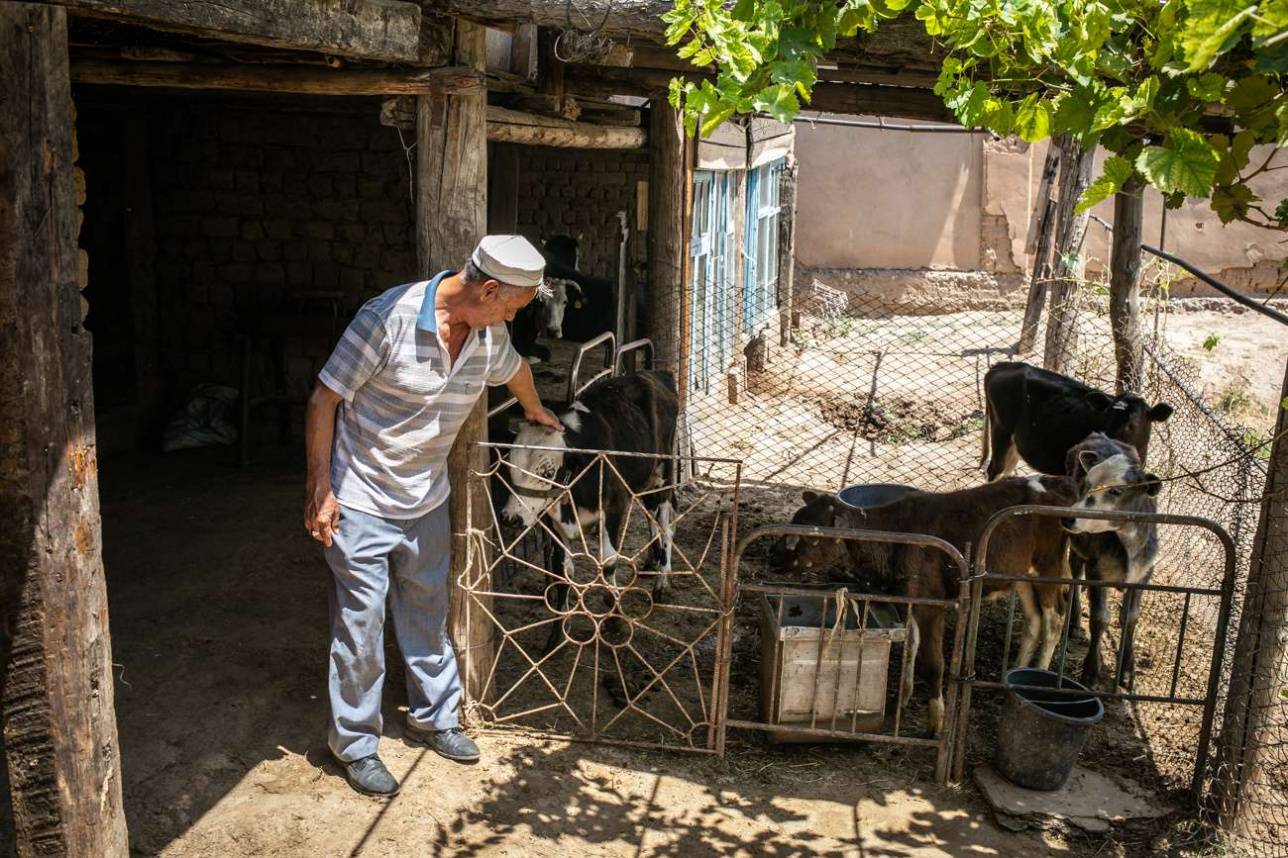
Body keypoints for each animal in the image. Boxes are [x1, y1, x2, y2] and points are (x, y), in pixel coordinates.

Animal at [499, 368, 680, 654]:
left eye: (547, 472)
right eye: (509, 467)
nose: (510, 518)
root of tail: (656, 374)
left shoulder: (615, 508)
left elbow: (608, 564)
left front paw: (615, 620)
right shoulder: (552, 522)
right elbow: (561, 572)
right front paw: (558, 635)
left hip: (662, 475)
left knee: (666, 526)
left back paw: (662, 580)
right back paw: (651, 561)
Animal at [777, 471, 1071, 731]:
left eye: (814, 536)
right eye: (794, 519)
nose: (774, 558)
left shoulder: (931, 602)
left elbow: (933, 663)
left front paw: (935, 721)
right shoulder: (909, 599)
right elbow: (910, 646)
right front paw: (900, 702)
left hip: (1048, 564)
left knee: (1055, 618)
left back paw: (1037, 678)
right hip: (1021, 574)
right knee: (1034, 619)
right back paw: (1012, 676)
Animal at [1061, 435, 1164, 690]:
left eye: (1117, 490)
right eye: (1086, 484)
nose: (1068, 517)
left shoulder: (1145, 572)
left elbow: (1130, 617)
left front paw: (1127, 672)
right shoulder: (1096, 568)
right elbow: (1100, 618)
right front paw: (1090, 673)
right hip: (1078, 547)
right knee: (1074, 574)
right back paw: (1073, 623)